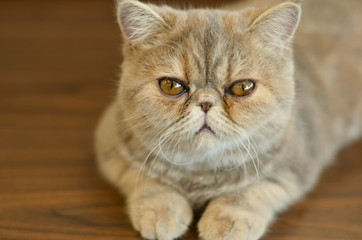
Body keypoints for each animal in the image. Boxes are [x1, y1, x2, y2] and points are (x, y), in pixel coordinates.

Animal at [95, 0, 362, 239]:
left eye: (242, 87)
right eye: (171, 86)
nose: (205, 103)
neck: (200, 171)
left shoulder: (297, 162)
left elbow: (252, 190)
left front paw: (229, 219)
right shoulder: (112, 144)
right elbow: (146, 179)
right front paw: (160, 210)